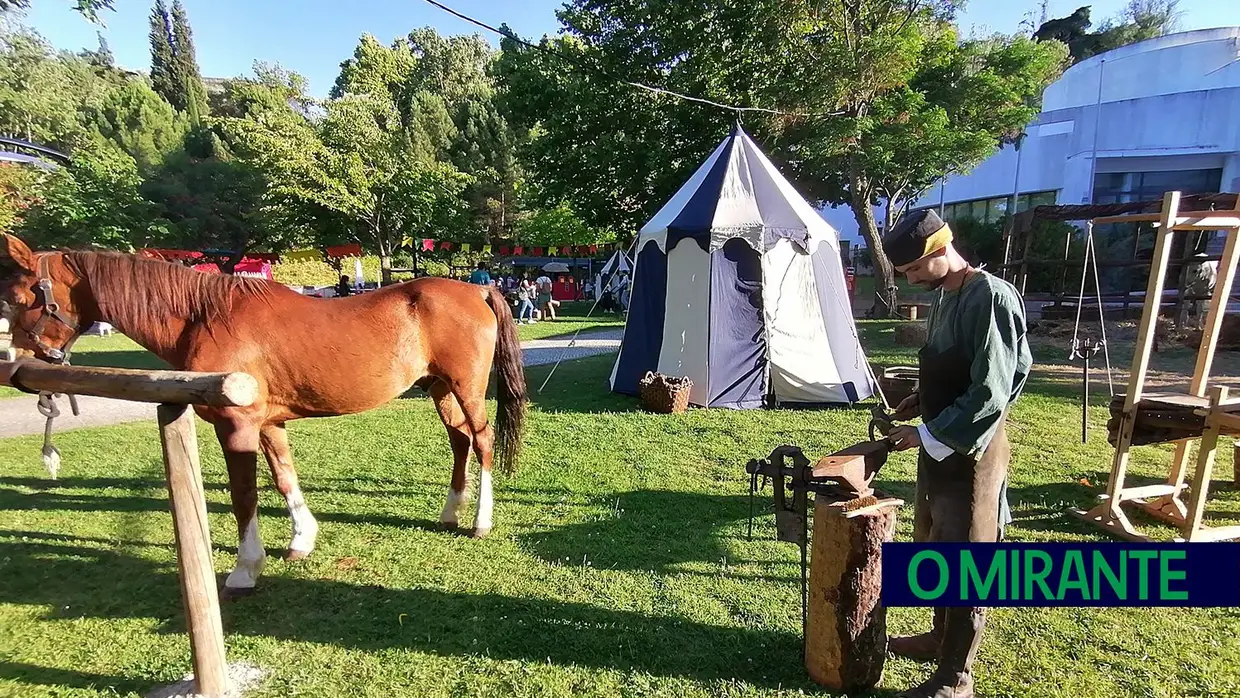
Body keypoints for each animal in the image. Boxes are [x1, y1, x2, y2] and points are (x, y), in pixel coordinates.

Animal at [0, 234, 525, 595]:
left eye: (20, 298)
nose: (11, 359)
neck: (204, 315)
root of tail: (476, 291)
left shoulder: (238, 426)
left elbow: (244, 496)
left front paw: (245, 569)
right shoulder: (269, 423)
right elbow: (284, 477)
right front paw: (302, 540)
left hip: (467, 389)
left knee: (480, 440)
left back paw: (480, 521)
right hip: (439, 389)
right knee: (460, 440)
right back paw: (450, 512)